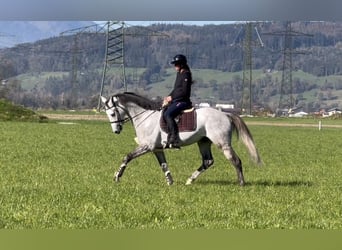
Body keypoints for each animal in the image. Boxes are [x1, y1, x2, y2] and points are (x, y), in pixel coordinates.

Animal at [100, 92, 260, 186]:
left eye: (113, 113)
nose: (116, 130)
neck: (145, 117)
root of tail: (225, 114)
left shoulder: (146, 146)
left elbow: (127, 157)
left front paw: (117, 176)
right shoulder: (157, 149)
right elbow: (163, 165)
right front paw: (170, 182)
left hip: (223, 144)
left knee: (236, 160)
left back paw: (241, 183)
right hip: (203, 142)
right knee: (208, 161)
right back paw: (189, 180)